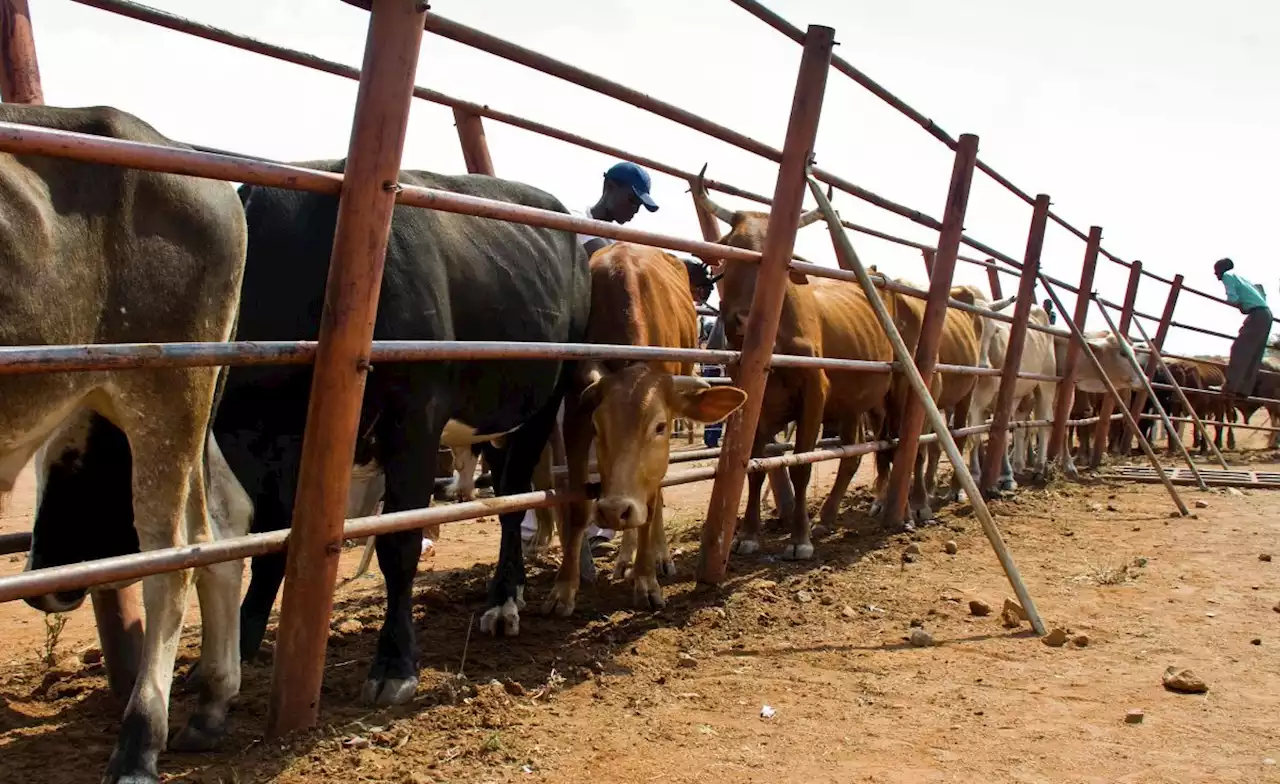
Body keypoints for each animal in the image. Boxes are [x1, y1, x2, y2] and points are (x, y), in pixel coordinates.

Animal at [213, 157, 588, 702]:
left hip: (545, 401)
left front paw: (394, 663)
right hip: (494, 418)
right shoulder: (256, 440)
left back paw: (502, 602)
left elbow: (399, 543)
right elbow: (270, 540)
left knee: (515, 500)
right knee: (506, 492)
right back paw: (513, 587)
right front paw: (241, 644)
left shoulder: (415, 420)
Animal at [542, 242, 747, 614]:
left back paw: (657, 557)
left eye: (660, 426)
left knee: (656, 497)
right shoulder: (576, 415)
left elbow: (651, 508)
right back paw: (624, 558)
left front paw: (646, 580)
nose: (613, 509)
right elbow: (578, 509)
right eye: (598, 426)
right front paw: (564, 589)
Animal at [691, 166, 890, 558]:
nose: (742, 319)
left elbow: (800, 466)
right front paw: (748, 534)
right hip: (854, 404)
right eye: (735, 250)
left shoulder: (814, 394)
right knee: (853, 454)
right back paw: (827, 516)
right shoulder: (755, 403)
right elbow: (755, 466)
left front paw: (800, 537)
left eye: (782, 262)